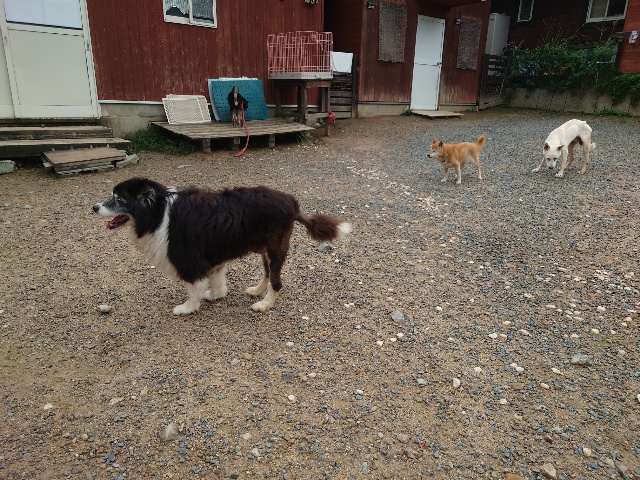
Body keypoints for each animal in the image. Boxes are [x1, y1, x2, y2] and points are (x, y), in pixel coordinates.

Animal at [92, 178, 351, 315]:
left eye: (118, 200)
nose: (94, 207)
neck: (158, 212)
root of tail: (293, 204)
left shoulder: (190, 260)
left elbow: (192, 288)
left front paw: (187, 308)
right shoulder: (212, 258)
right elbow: (216, 281)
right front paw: (216, 295)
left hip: (276, 246)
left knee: (277, 281)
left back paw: (264, 304)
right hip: (265, 249)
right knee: (268, 273)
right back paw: (257, 290)